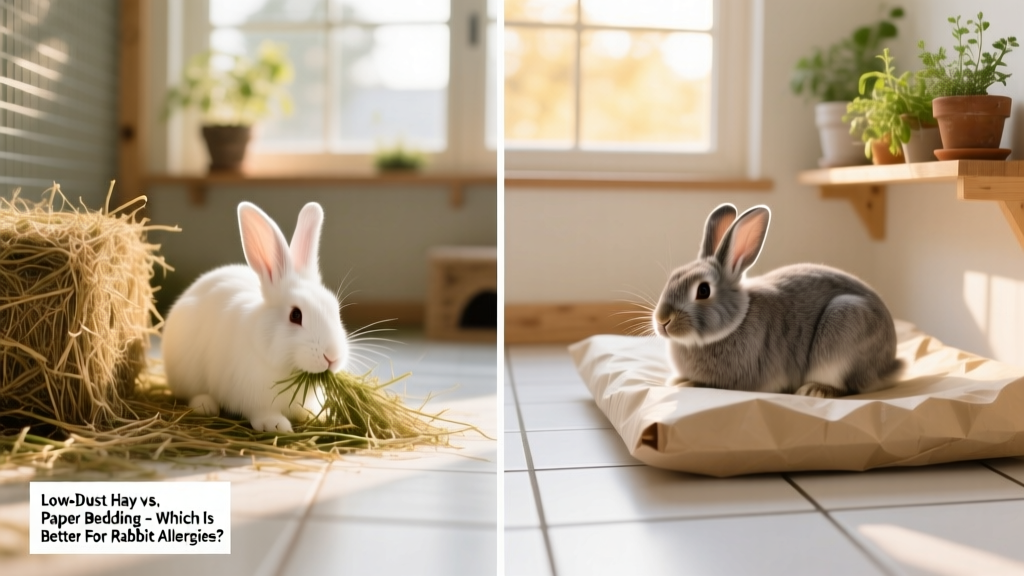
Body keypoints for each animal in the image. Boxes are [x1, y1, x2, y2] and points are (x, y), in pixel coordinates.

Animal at [162, 201, 349, 432]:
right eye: (295, 315)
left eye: (335, 309)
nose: (332, 357)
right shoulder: (252, 398)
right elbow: (262, 413)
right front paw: (277, 425)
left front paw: (317, 416)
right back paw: (205, 405)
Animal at [652, 203, 901, 398]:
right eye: (673, 277)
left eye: (703, 290)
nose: (662, 320)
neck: (735, 322)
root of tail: (889, 365)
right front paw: (675, 380)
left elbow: (706, 383)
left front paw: (683, 383)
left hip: (844, 330)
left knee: (848, 386)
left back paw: (814, 390)